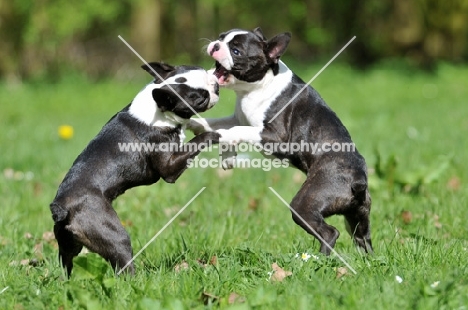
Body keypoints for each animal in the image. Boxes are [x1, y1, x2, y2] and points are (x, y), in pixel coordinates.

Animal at [49, 62, 221, 276]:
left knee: (67, 263)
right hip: (113, 235)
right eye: (199, 98)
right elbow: (194, 143)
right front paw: (212, 134)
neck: (156, 110)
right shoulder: (169, 168)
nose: (216, 85)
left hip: (69, 245)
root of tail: (62, 207)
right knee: (123, 265)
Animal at [188, 27, 374, 254]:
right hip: (357, 218)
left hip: (305, 204)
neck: (258, 86)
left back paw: (317, 259)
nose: (215, 45)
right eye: (221, 37)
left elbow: (235, 130)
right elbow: (217, 123)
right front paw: (195, 123)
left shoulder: (275, 137)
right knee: (363, 239)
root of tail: (358, 179)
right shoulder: (237, 117)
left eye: (236, 51)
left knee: (330, 233)